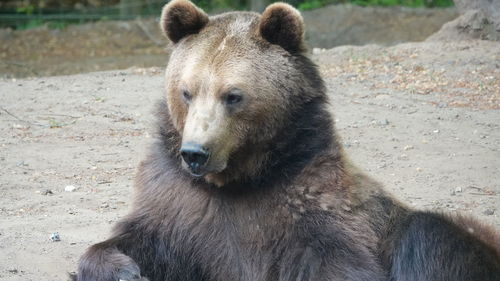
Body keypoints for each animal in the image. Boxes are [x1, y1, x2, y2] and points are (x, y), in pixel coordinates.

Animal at [74, 1, 500, 278]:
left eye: (233, 95)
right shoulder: (181, 206)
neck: (241, 178)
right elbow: (138, 239)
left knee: (428, 232)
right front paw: (123, 270)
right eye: (186, 91)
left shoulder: (311, 208)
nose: (195, 153)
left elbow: (340, 262)